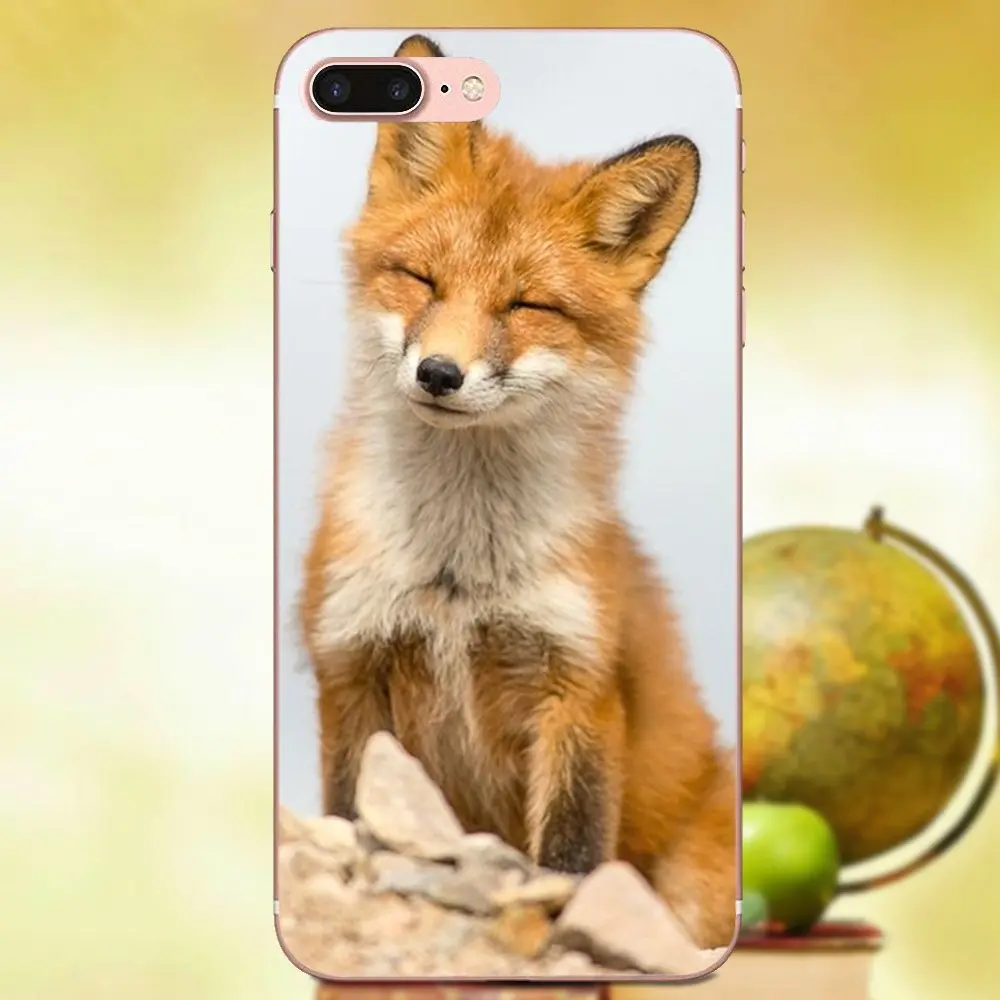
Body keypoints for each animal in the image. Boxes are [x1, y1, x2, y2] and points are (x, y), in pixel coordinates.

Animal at [298, 33, 738, 952]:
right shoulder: (350, 670)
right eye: (421, 280)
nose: (439, 373)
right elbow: (355, 824)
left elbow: (569, 862)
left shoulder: (579, 689)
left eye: (526, 305)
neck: (457, 574)